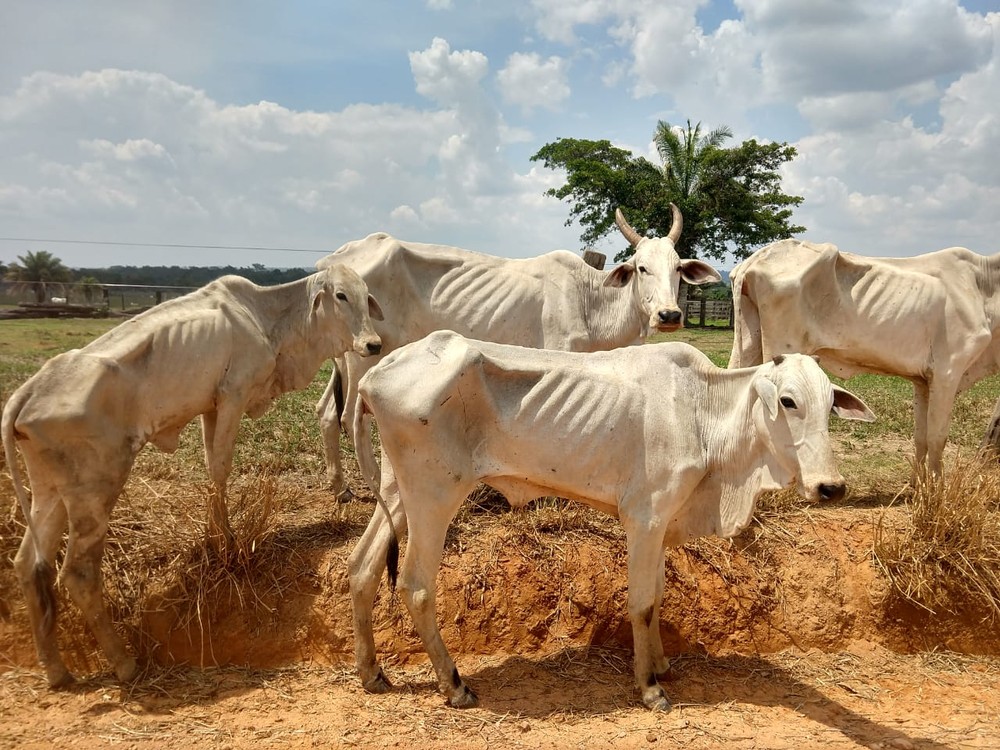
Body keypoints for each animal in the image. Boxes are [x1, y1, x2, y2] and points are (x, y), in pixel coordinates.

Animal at [1, 262, 384, 688]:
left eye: (365, 293)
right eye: (340, 295)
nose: (372, 344)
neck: (267, 318)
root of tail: (30, 390)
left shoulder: (210, 406)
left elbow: (211, 465)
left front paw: (217, 536)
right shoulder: (232, 395)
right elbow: (221, 465)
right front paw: (226, 541)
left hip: (49, 492)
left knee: (28, 564)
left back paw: (56, 670)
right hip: (95, 490)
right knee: (77, 573)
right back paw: (124, 663)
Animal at [348, 332, 872, 712]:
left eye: (830, 404)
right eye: (787, 401)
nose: (830, 487)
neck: (702, 414)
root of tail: (373, 374)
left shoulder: (661, 522)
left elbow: (658, 595)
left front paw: (661, 663)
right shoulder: (646, 516)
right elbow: (641, 602)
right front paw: (650, 688)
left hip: (397, 492)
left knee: (361, 568)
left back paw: (373, 673)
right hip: (434, 495)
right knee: (415, 586)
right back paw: (455, 686)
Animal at [728, 241, 1000, 476]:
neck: (983, 287)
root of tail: (755, 260)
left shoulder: (924, 381)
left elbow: (921, 437)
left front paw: (918, 487)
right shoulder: (948, 373)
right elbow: (937, 438)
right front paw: (935, 492)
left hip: (749, 344)